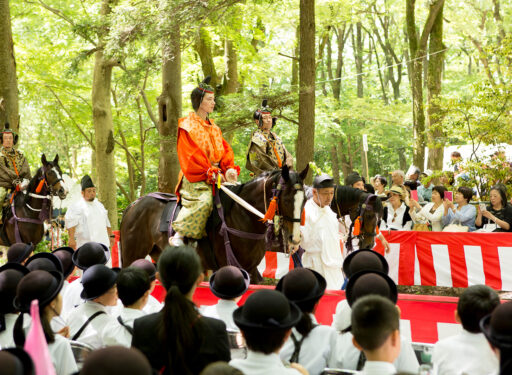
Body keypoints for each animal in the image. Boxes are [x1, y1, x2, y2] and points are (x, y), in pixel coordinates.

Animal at [120, 166, 308, 284]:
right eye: (286, 199)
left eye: (304, 200)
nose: (295, 239)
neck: (242, 215)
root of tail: (134, 205)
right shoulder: (229, 267)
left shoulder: (251, 269)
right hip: (132, 255)